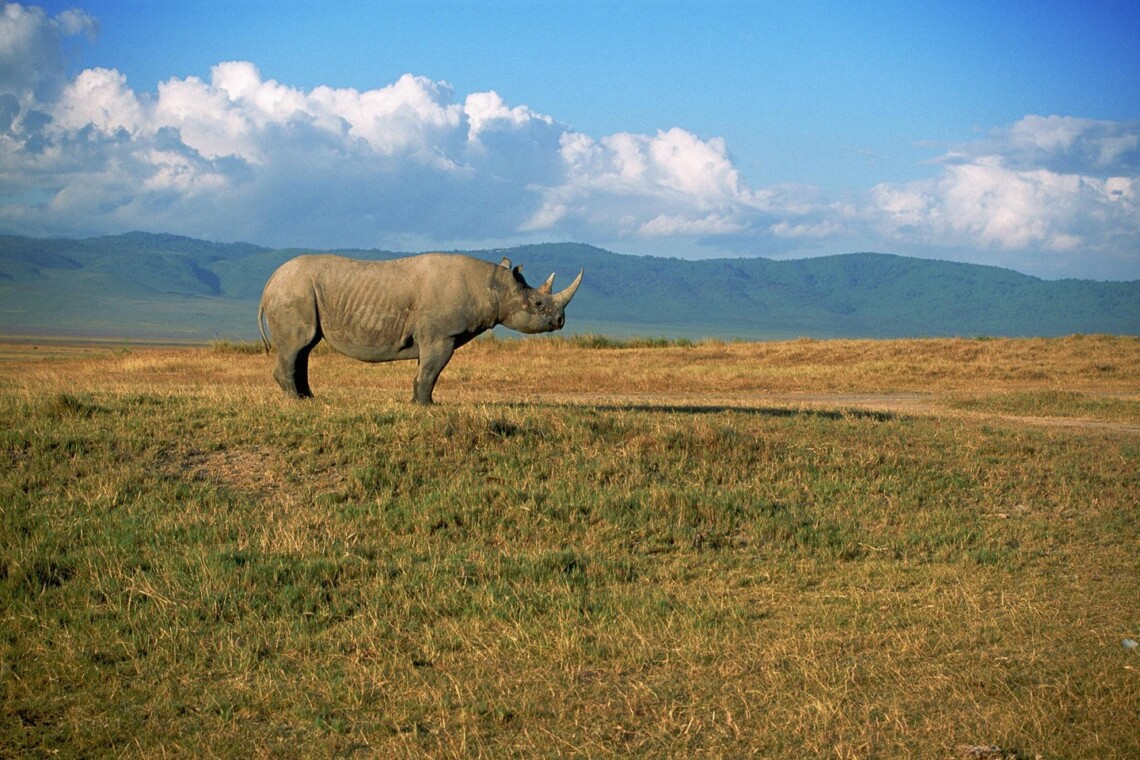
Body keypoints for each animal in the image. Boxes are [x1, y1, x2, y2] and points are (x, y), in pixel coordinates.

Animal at [257, 253, 582, 404]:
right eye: (538, 304)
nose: (561, 321)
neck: (494, 285)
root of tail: (268, 283)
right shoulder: (442, 335)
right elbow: (431, 371)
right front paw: (427, 406)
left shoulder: (432, 336)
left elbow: (422, 370)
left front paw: (416, 401)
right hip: (293, 292)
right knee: (297, 345)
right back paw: (295, 401)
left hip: (298, 292)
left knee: (304, 348)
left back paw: (309, 398)